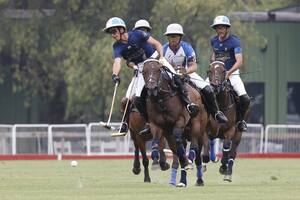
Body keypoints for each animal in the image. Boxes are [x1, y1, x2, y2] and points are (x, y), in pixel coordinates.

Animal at [142, 58, 207, 187]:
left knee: (195, 147)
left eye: (158, 70)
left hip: (198, 126)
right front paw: (157, 161)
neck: (162, 100)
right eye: (143, 72)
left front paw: (187, 160)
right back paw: (182, 179)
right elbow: (156, 142)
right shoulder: (156, 125)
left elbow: (179, 140)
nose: (151, 88)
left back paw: (192, 163)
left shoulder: (180, 120)